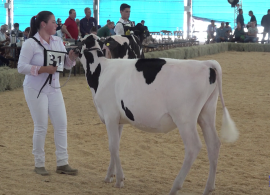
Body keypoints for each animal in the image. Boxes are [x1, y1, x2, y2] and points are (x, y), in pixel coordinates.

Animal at [78, 35, 238, 195]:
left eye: (79, 42)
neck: (101, 70)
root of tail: (206, 64)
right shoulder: (118, 120)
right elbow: (115, 145)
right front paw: (110, 176)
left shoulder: (110, 116)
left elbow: (113, 146)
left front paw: (119, 180)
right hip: (206, 113)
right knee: (214, 143)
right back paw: (208, 187)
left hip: (185, 119)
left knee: (193, 147)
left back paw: (175, 187)